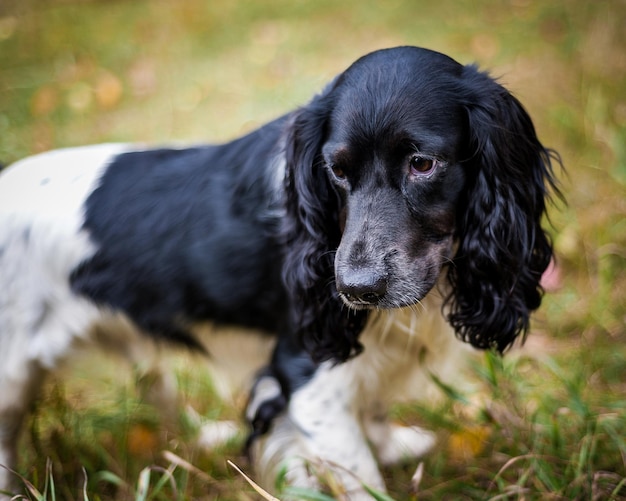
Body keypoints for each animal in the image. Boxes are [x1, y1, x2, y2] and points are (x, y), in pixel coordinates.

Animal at [0, 46, 556, 496]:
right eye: (336, 170)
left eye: (423, 164)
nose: (355, 289)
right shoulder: (309, 374)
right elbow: (359, 473)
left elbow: (371, 414)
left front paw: (391, 443)